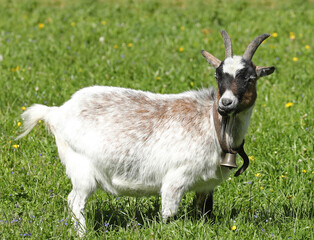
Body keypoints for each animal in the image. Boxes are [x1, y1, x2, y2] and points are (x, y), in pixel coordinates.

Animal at [16, 30, 274, 234]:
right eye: (218, 75)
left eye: (250, 78)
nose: (226, 103)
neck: (211, 124)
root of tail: (56, 112)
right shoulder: (175, 180)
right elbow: (168, 216)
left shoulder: (205, 185)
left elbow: (204, 212)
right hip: (81, 168)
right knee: (75, 201)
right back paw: (82, 233)